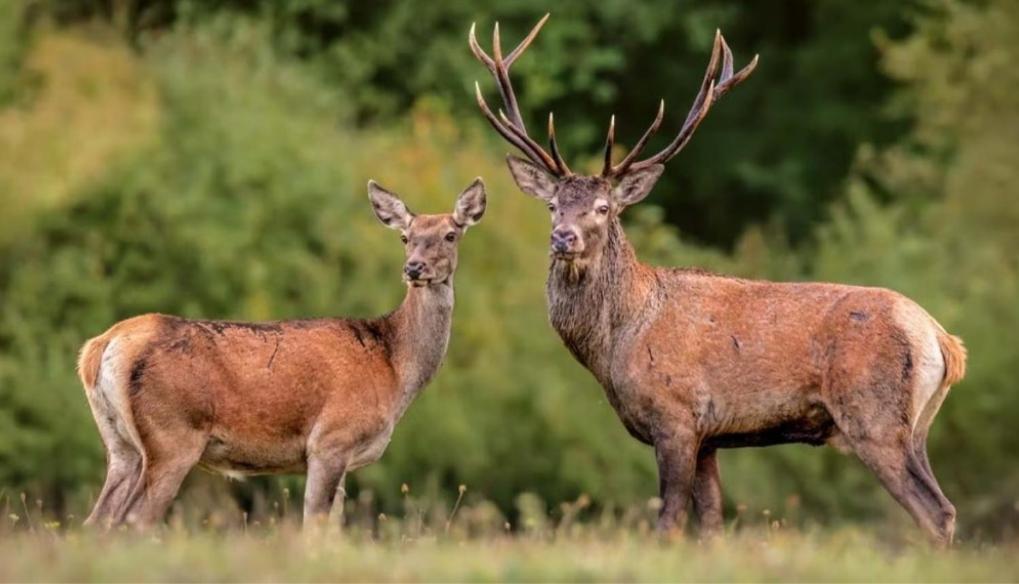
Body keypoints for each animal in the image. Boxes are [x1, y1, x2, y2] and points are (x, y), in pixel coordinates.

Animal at [76, 178, 485, 529]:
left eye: (450, 234)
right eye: (405, 237)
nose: (414, 268)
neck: (394, 368)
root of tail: (101, 347)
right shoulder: (331, 440)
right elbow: (314, 527)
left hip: (120, 444)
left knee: (95, 521)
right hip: (172, 436)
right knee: (132, 521)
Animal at [468, 15, 961, 546]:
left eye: (602, 208)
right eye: (553, 205)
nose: (563, 237)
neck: (618, 341)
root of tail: (942, 339)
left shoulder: (677, 417)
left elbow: (668, 522)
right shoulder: (711, 437)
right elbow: (711, 527)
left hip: (874, 416)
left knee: (935, 510)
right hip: (917, 426)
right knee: (944, 506)